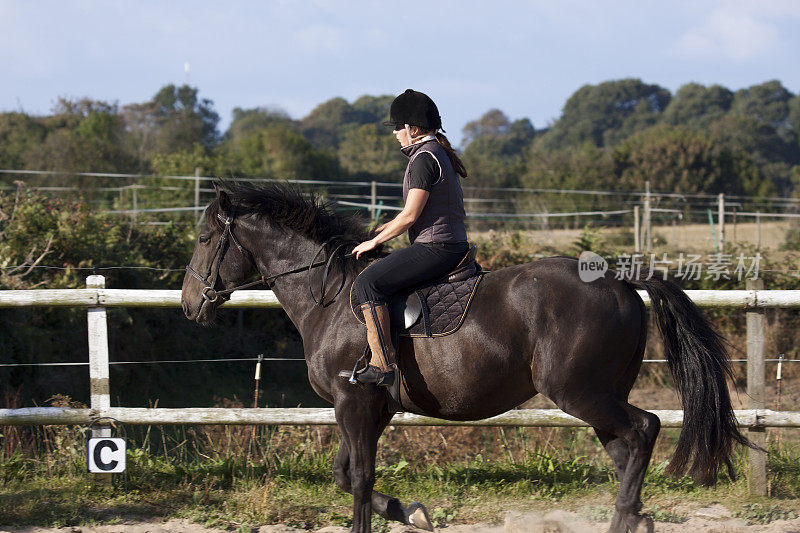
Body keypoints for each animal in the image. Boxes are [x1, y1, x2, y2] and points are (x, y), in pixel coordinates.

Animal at [180, 181, 752, 528]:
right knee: (626, 447)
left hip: (579, 391)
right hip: (600, 395)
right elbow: (345, 475)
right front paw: (413, 513)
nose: (190, 304)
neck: (332, 296)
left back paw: (624, 519)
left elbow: (359, 480)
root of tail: (618, 280)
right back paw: (636, 518)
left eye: (206, 237)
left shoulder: (354, 402)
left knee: (644, 428)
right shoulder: (369, 407)